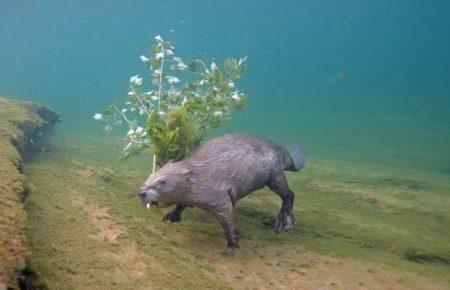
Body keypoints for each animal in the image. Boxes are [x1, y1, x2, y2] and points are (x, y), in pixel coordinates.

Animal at [139, 134, 304, 249]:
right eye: (151, 175)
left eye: (163, 181)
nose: (141, 192)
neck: (200, 174)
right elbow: (182, 203)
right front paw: (170, 216)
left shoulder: (217, 195)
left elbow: (226, 216)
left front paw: (233, 244)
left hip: (274, 174)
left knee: (288, 193)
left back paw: (283, 224)